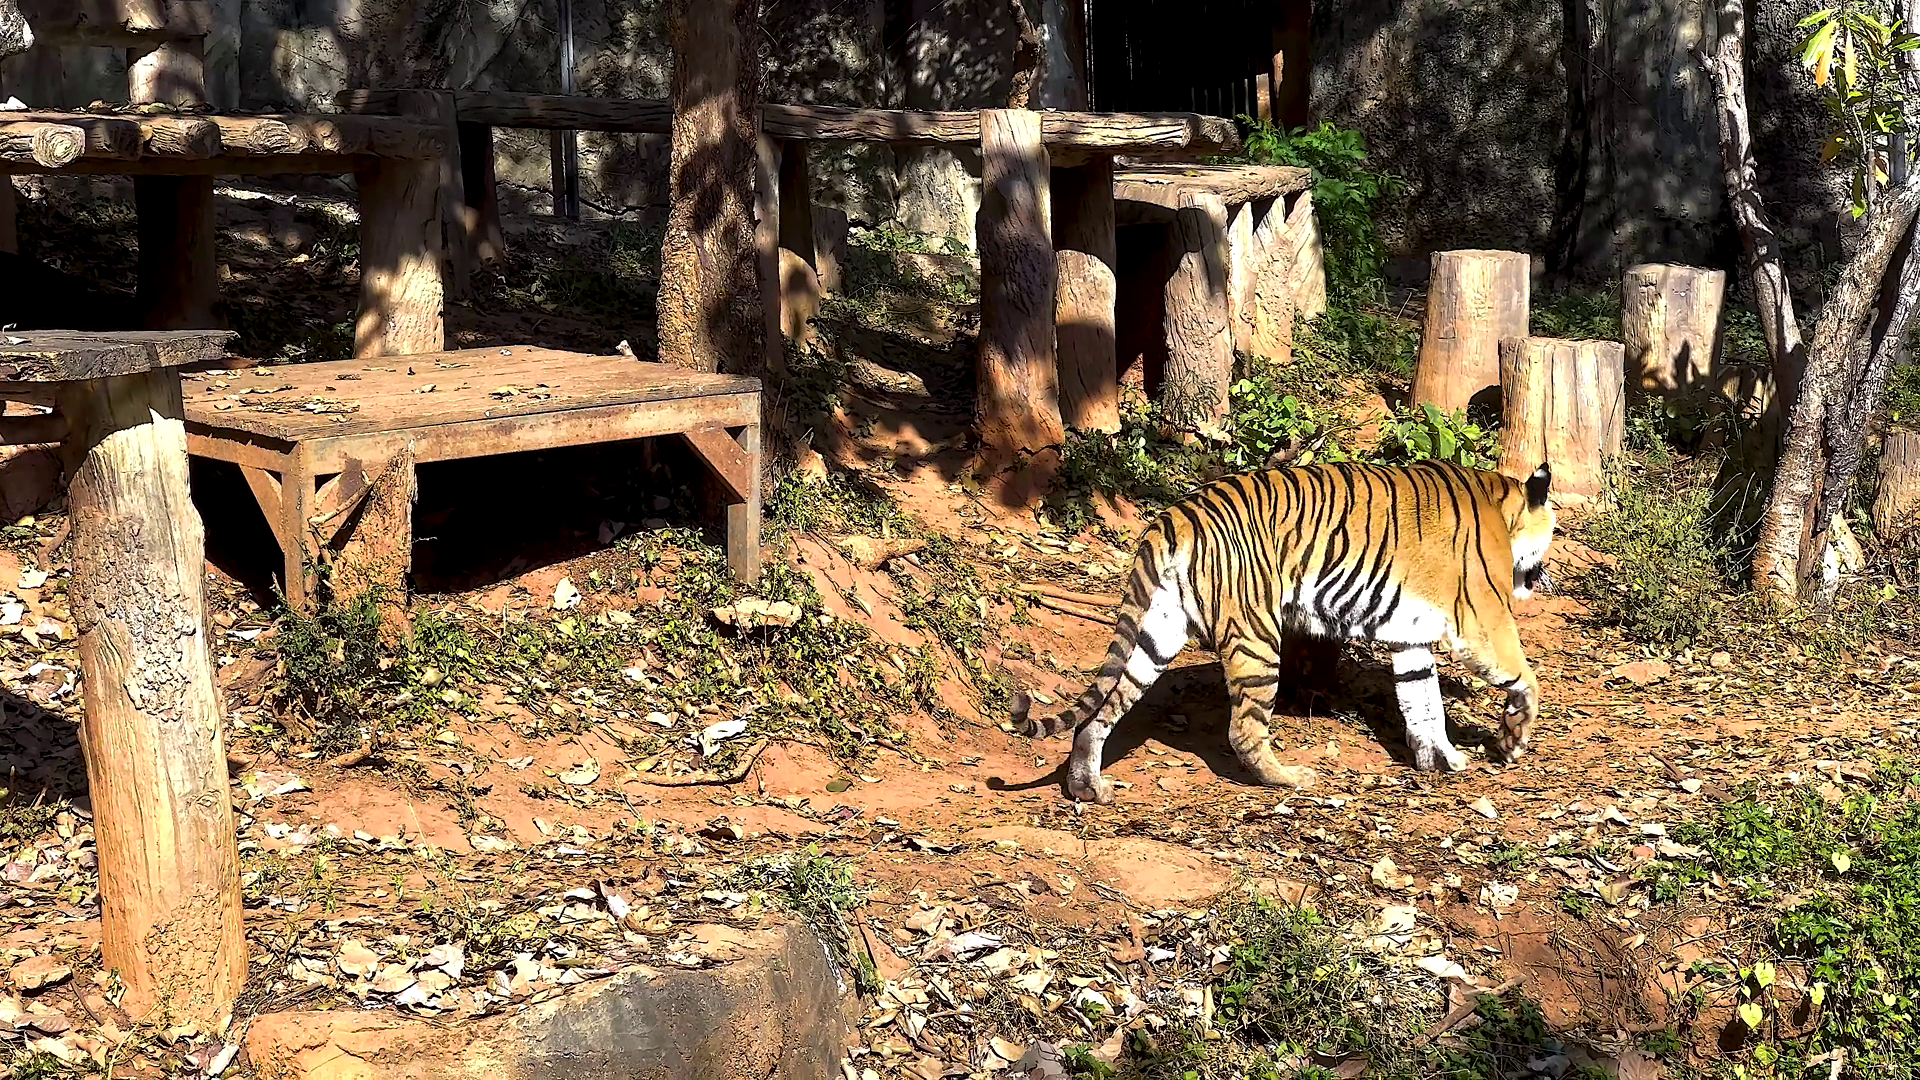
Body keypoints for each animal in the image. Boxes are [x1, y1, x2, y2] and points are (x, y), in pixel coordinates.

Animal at [1018, 459, 1557, 805]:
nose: (1543, 575)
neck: (1503, 506)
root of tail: (1176, 515)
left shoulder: (1412, 636)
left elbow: (1422, 700)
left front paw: (1438, 757)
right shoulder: (1481, 618)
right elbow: (1525, 678)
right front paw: (1511, 741)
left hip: (1156, 633)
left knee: (1099, 712)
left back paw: (1087, 786)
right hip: (1257, 637)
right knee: (1243, 730)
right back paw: (1291, 778)